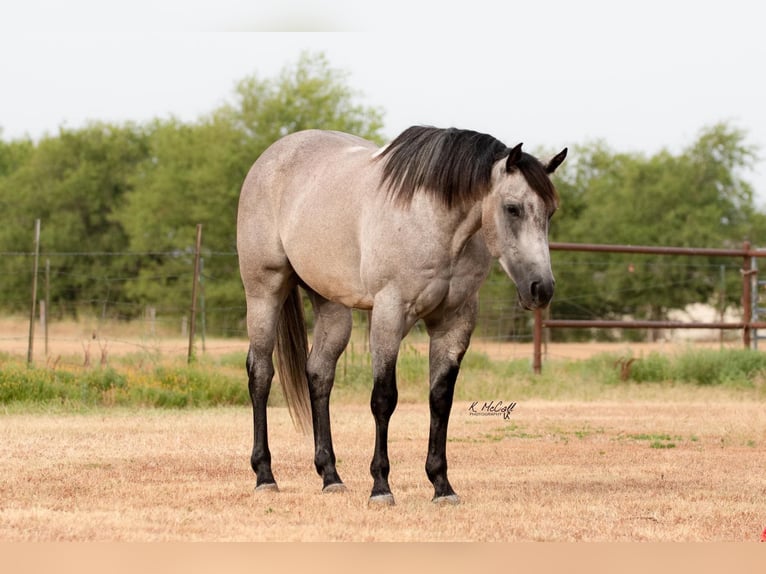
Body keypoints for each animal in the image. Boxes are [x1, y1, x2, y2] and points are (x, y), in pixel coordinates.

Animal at [237, 125, 568, 504]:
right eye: (513, 209)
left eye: (550, 211)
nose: (541, 288)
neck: (435, 222)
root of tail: (272, 156)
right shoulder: (389, 314)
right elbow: (384, 399)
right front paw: (381, 486)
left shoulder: (454, 322)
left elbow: (440, 399)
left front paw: (441, 485)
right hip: (264, 292)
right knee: (261, 374)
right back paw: (264, 475)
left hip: (332, 306)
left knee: (319, 374)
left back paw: (330, 476)